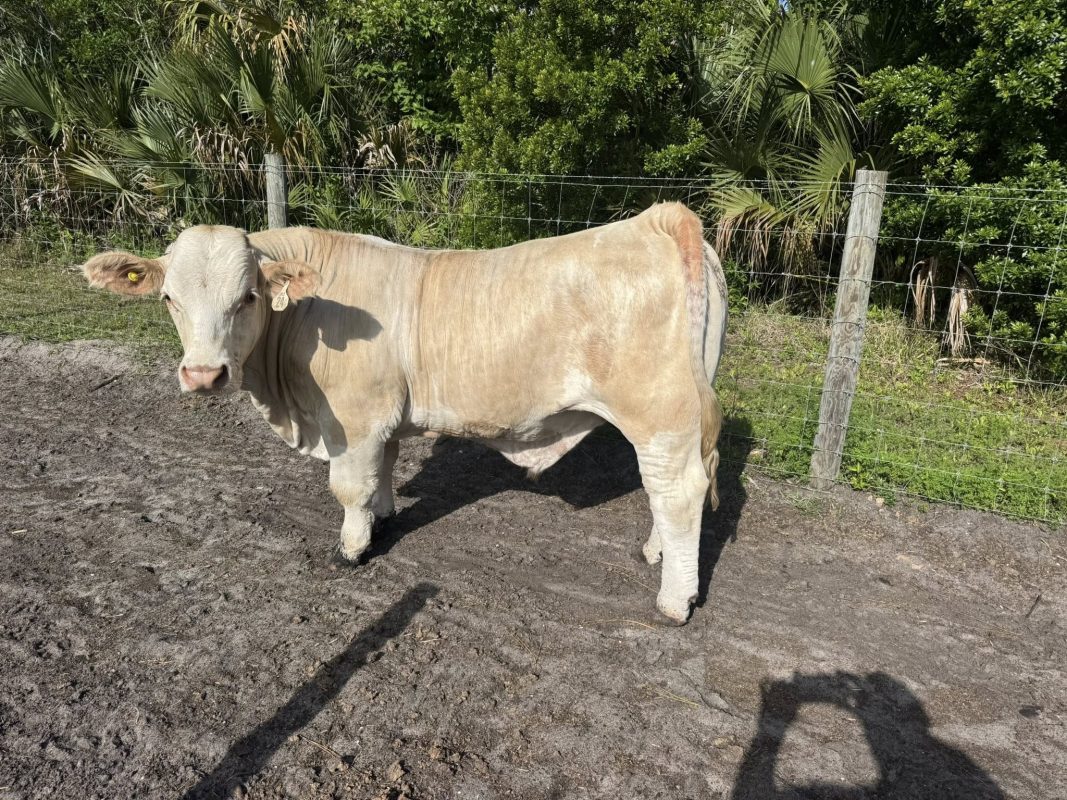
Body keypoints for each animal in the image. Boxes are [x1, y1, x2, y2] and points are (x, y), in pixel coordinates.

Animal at [82, 202, 728, 623]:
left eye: (248, 297)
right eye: (169, 298)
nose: (203, 375)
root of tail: (659, 219)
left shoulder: (354, 416)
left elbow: (348, 485)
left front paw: (352, 548)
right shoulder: (381, 416)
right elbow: (383, 468)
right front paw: (383, 516)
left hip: (660, 412)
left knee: (677, 492)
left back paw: (674, 600)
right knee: (673, 491)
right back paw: (656, 553)